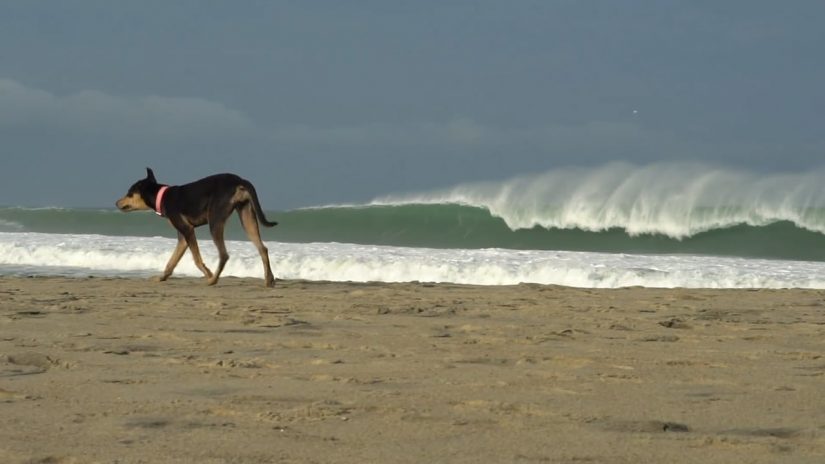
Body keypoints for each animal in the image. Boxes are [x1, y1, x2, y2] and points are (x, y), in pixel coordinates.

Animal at [115, 169, 280, 286]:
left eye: (129, 193)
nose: (116, 202)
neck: (162, 197)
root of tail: (239, 180)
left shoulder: (187, 230)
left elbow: (196, 259)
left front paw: (208, 274)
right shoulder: (182, 237)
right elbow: (171, 262)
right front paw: (161, 278)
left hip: (215, 221)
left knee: (224, 254)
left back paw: (213, 280)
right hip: (247, 217)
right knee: (262, 248)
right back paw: (269, 280)